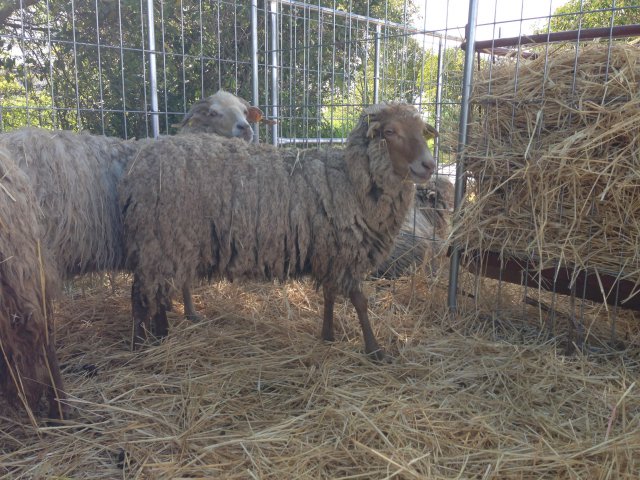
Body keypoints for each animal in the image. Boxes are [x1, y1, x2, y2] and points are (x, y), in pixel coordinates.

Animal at [119, 105, 438, 360]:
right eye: (389, 131)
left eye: (423, 132)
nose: (429, 165)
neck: (350, 179)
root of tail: (139, 164)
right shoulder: (345, 252)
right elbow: (360, 302)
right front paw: (375, 350)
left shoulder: (329, 251)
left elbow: (329, 294)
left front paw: (328, 335)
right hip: (161, 240)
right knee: (140, 294)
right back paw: (141, 346)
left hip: (168, 244)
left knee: (153, 291)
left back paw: (163, 331)